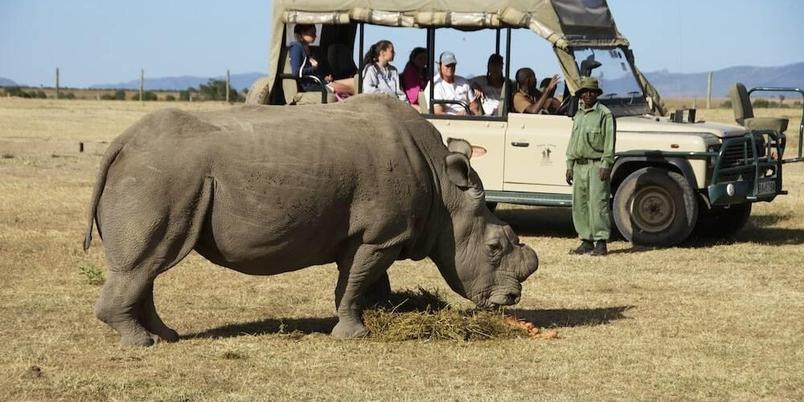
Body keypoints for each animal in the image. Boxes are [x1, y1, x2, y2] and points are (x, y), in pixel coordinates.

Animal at [83, 94, 539, 346]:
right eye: (494, 247)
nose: (511, 300)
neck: (447, 193)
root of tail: (122, 143)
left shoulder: (377, 235)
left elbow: (368, 280)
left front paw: (385, 312)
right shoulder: (380, 235)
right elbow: (354, 282)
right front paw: (356, 334)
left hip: (162, 176)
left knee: (149, 265)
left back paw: (166, 336)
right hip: (162, 176)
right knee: (146, 263)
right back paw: (141, 343)